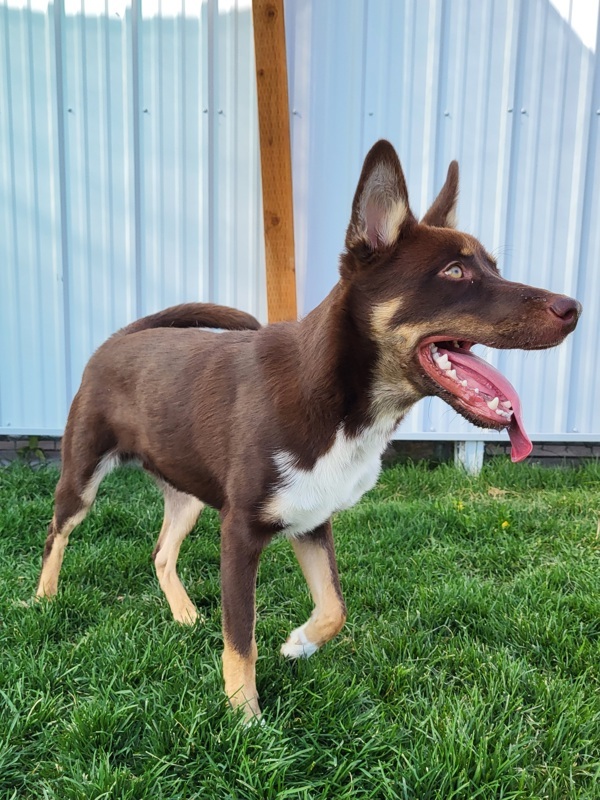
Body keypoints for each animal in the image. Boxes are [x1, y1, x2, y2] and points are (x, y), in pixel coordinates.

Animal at [37, 141, 580, 720]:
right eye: (455, 272)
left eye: (493, 267)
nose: (573, 308)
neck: (337, 400)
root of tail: (121, 335)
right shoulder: (239, 531)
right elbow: (241, 637)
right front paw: (245, 717)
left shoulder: (312, 520)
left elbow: (335, 606)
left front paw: (299, 644)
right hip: (81, 476)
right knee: (56, 534)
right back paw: (43, 601)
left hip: (188, 492)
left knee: (161, 553)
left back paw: (183, 614)